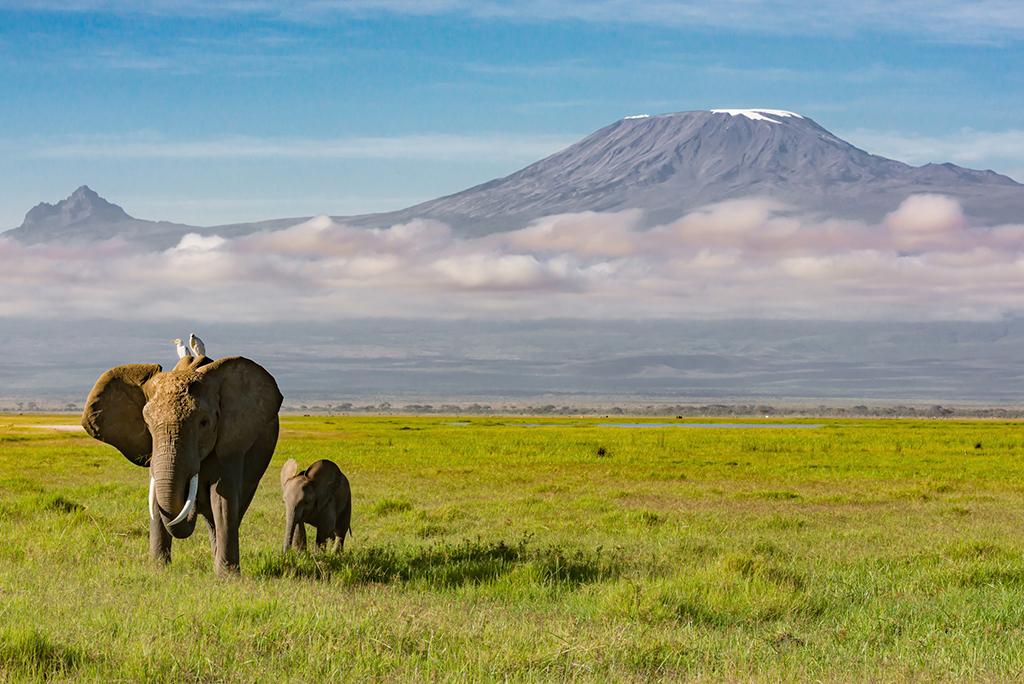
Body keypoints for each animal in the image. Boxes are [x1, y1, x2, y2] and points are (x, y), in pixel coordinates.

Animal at [81, 356, 282, 573]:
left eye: (204, 423)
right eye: (147, 424)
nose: (194, 502)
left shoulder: (231, 444)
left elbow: (223, 499)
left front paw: (227, 577)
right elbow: (156, 499)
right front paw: (159, 570)